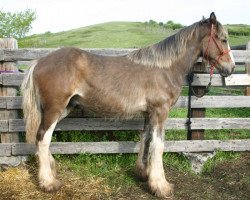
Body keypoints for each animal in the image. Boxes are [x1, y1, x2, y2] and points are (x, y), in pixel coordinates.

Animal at [21, 12, 234, 198]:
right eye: (223, 39)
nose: (231, 68)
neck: (165, 68)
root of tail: (39, 61)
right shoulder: (160, 112)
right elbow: (158, 146)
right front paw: (161, 186)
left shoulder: (149, 114)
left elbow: (146, 140)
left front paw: (144, 173)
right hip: (54, 109)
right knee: (43, 138)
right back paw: (48, 182)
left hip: (64, 109)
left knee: (42, 138)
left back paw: (51, 168)